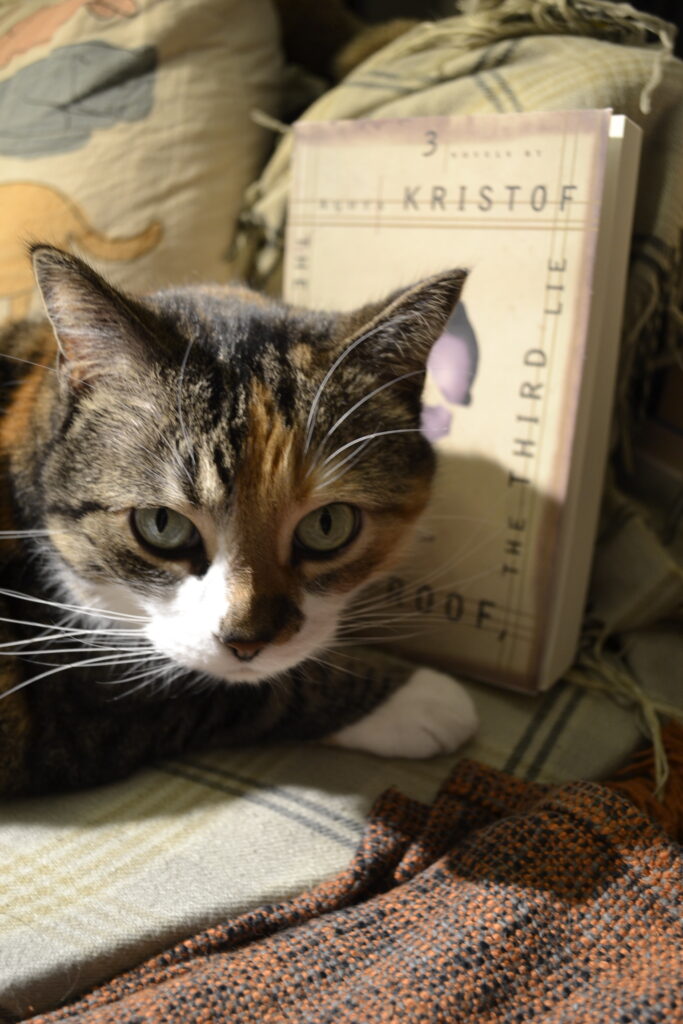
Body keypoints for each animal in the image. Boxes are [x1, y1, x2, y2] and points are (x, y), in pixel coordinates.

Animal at [0, 247, 479, 798]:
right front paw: (419, 699)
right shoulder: (68, 705)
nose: (247, 643)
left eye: (328, 525)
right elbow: (210, 687)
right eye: (161, 524)